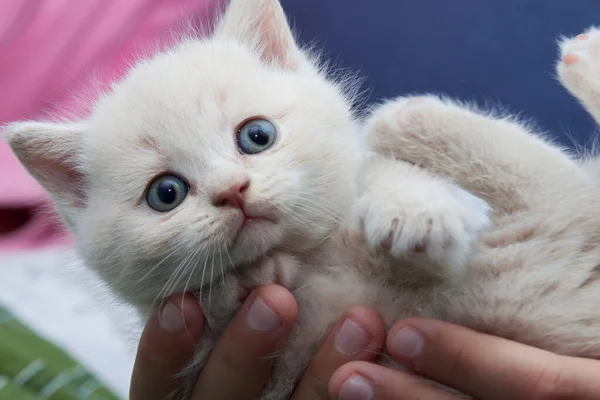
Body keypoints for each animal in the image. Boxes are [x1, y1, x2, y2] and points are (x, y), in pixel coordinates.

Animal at [4, 1, 600, 398]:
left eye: (256, 136)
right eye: (165, 194)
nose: (233, 191)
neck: (318, 261)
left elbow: (391, 183)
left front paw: (411, 211)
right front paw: (238, 284)